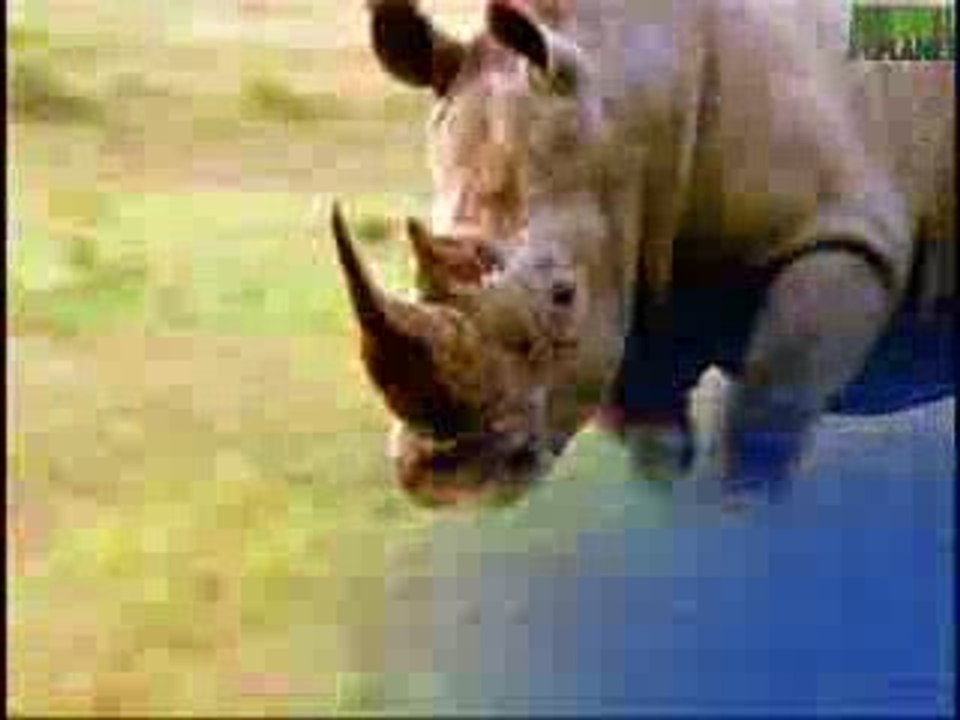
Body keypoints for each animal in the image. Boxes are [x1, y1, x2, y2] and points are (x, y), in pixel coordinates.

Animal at [330, 0, 955, 508]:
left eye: (563, 295)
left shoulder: (838, 236)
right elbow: (655, 447)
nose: (448, 478)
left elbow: (758, 431)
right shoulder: (633, 271)